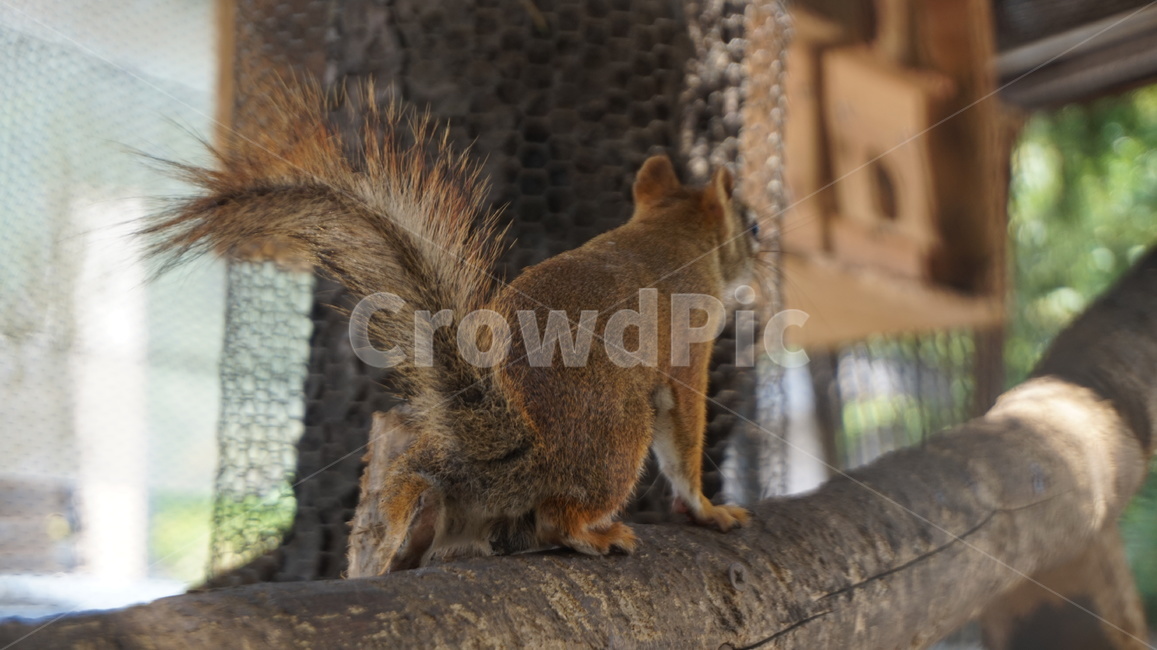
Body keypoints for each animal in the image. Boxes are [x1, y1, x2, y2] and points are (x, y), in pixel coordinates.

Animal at [142, 80, 760, 575]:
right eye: (751, 226)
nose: (763, 253)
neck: (668, 233)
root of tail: (500, 453)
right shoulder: (690, 351)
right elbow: (685, 432)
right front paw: (708, 509)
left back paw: (410, 548)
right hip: (619, 437)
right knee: (559, 518)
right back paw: (594, 534)